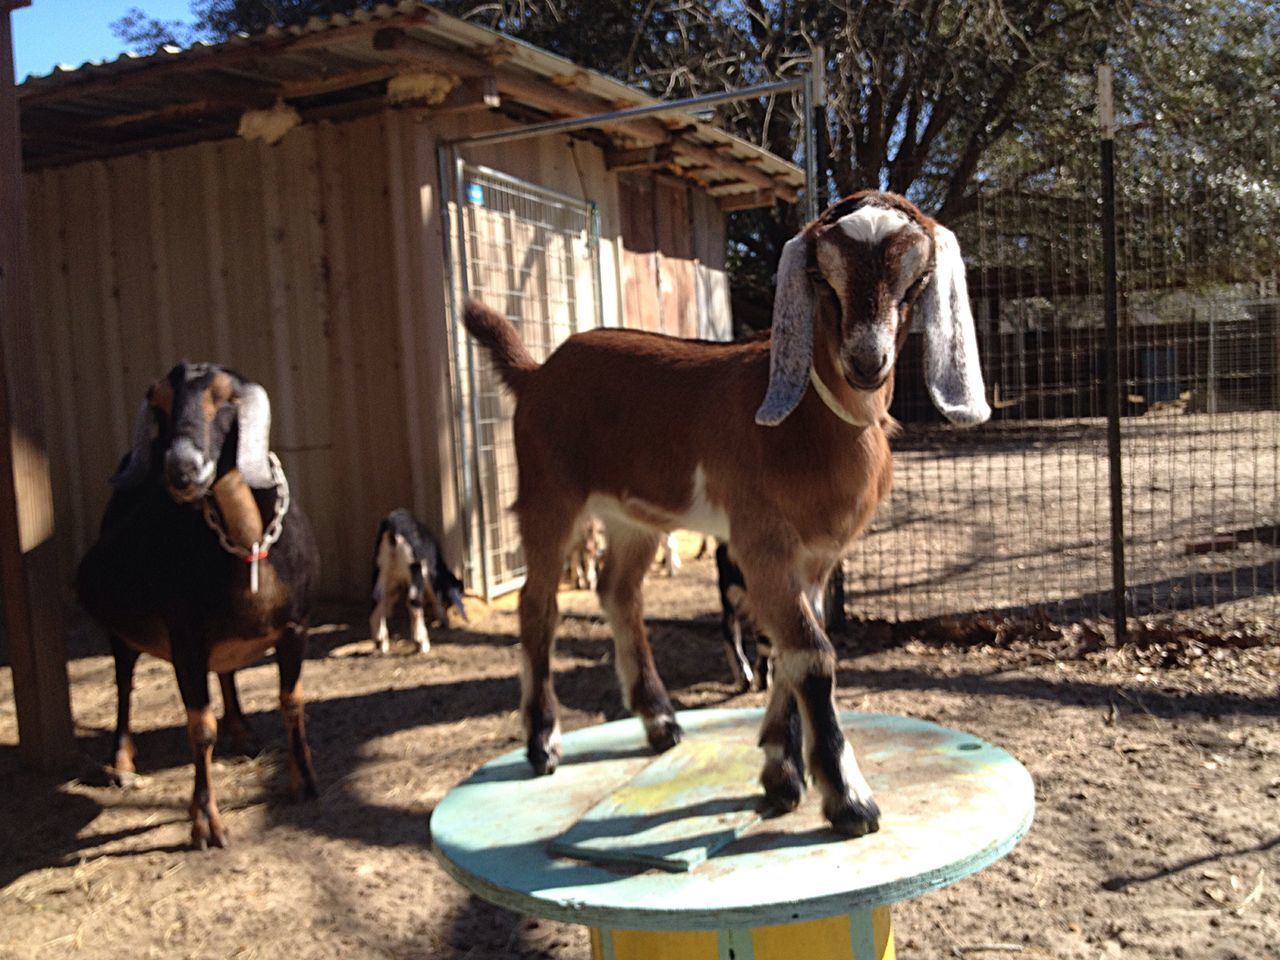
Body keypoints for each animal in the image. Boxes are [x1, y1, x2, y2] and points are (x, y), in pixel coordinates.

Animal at [76, 363, 320, 855]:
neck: (247, 545)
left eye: (225, 400)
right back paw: (123, 764)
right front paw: (206, 824)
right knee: (124, 685)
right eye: (160, 404)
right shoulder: (184, 638)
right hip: (122, 632)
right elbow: (200, 728)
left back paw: (242, 731)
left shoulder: (295, 628)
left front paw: (303, 779)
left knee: (225, 671)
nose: (182, 467)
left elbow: (291, 703)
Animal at [465, 192, 993, 839]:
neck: (811, 425)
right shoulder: (759, 540)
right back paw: (543, 741)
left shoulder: (817, 557)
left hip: (633, 517)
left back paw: (659, 721)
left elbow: (790, 650)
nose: (867, 361)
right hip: (549, 491)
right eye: (822, 276)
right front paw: (849, 799)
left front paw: (782, 773)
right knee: (538, 604)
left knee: (619, 592)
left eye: (916, 281)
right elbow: (812, 655)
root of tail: (536, 372)